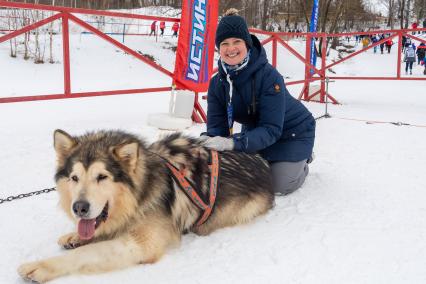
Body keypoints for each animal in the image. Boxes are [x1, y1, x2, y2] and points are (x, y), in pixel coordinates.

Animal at [18, 130, 274, 282]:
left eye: (102, 177)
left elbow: (88, 252)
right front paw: (74, 236)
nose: (79, 208)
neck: (137, 196)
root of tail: (262, 161)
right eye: (74, 178)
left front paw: (42, 266)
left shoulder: (143, 244)